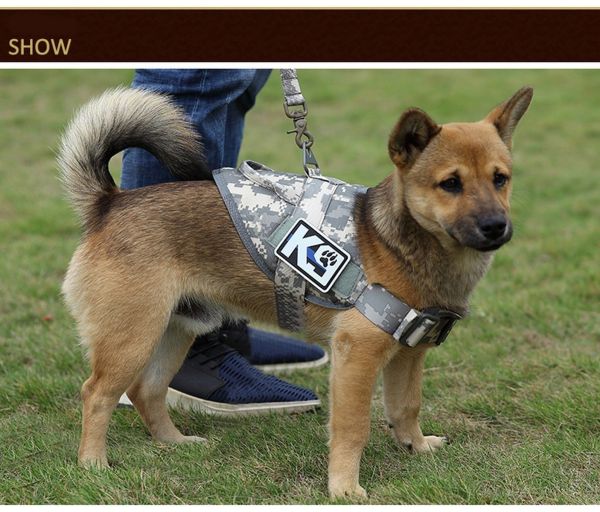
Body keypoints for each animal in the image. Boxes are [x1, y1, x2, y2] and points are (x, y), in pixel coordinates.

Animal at [58, 86, 532, 498]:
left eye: (501, 179)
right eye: (450, 183)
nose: (496, 226)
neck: (398, 242)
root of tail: (110, 203)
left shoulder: (409, 355)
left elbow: (405, 407)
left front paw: (415, 446)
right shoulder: (356, 356)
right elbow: (353, 427)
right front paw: (344, 487)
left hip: (179, 330)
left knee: (147, 392)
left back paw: (172, 442)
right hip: (132, 337)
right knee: (97, 394)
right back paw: (92, 463)